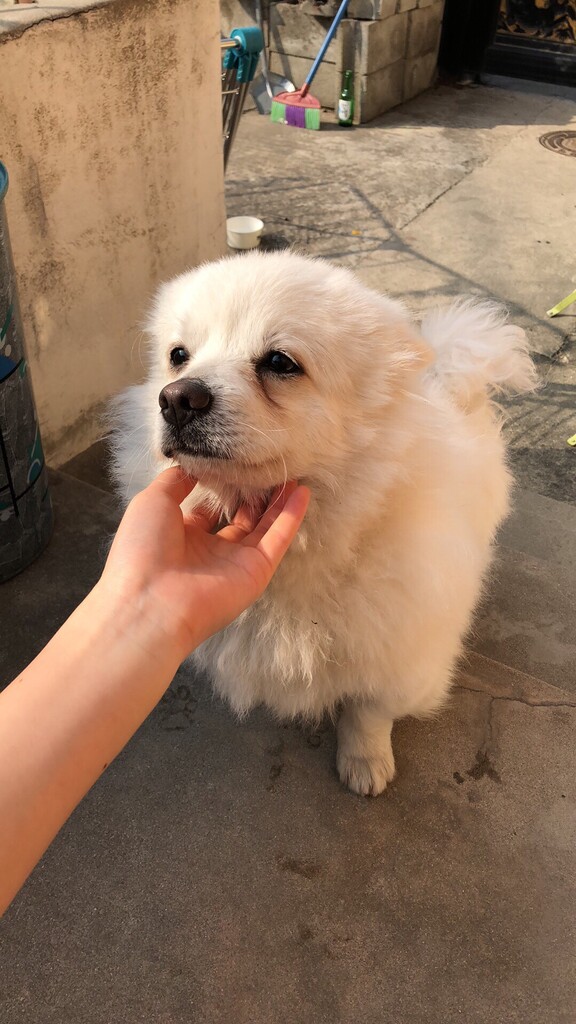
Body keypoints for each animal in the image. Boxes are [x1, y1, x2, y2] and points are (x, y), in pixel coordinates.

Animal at [110, 251, 536, 795]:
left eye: (279, 363)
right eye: (178, 355)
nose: (178, 398)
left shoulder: (399, 654)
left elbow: (368, 712)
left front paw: (365, 763)